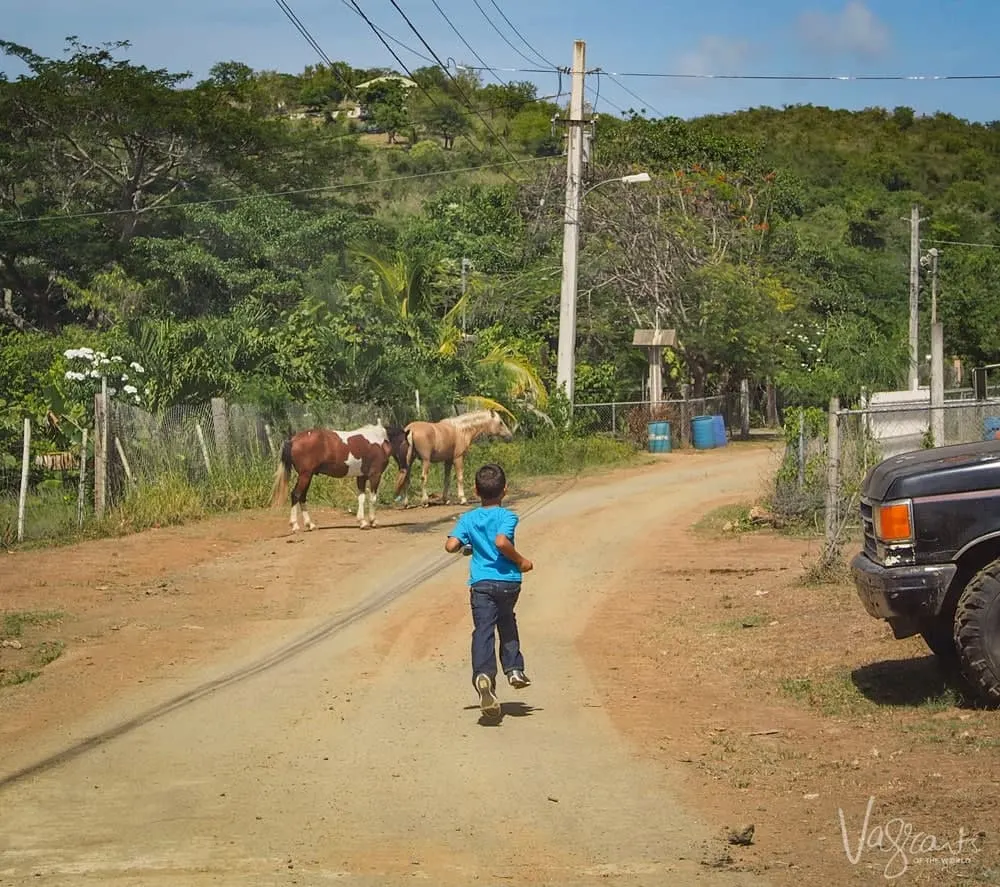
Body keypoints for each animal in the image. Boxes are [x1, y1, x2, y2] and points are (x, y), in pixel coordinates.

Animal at [272, 420, 408, 532]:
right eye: (406, 443)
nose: (404, 466)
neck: (379, 440)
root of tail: (292, 440)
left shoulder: (361, 476)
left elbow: (361, 498)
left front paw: (362, 522)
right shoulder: (375, 475)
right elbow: (372, 498)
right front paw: (373, 521)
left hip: (307, 476)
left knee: (302, 497)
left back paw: (310, 525)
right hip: (305, 476)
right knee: (296, 495)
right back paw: (295, 525)